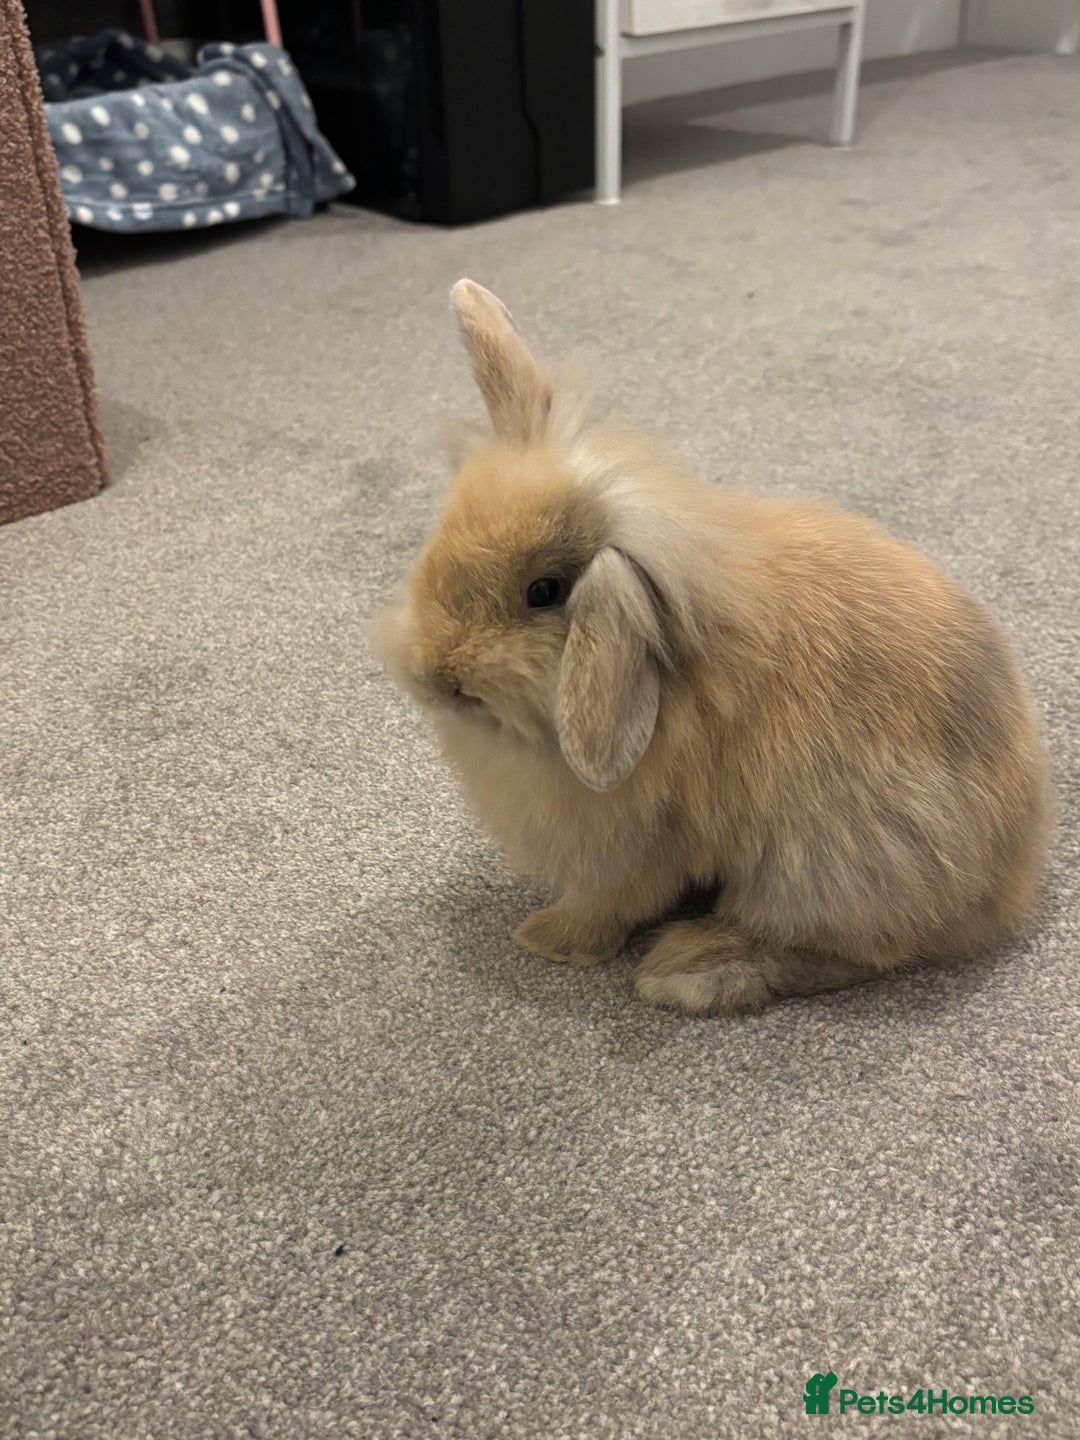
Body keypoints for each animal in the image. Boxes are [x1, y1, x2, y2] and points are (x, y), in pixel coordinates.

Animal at [372, 278, 1052, 1014]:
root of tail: (1008, 880)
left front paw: (548, 940)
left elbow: (610, 900)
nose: (436, 674)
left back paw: (692, 967)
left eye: (544, 591)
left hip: (826, 863)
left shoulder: (642, 845)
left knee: (852, 952)